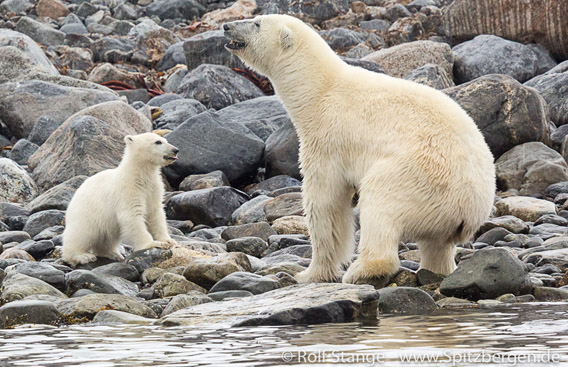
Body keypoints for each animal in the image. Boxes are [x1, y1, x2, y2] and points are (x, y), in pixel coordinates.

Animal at [224, 15, 494, 284]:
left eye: (257, 23)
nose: (226, 26)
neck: (319, 89)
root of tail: (470, 208)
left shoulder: (327, 138)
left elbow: (325, 202)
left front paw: (309, 273)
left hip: (421, 179)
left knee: (379, 202)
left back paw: (362, 270)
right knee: (436, 245)